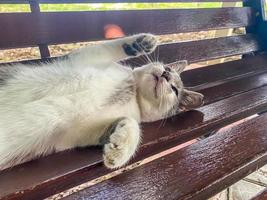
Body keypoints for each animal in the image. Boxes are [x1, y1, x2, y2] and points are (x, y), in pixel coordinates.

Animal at [0, 33, 203, 170]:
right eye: (167, 68)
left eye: (175, 90)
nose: (166, 74)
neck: (133, 92)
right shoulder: (85, 58)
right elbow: (105, 47)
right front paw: (142, 42)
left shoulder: (74, 132)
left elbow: (131, 124)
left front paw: (118, 151)